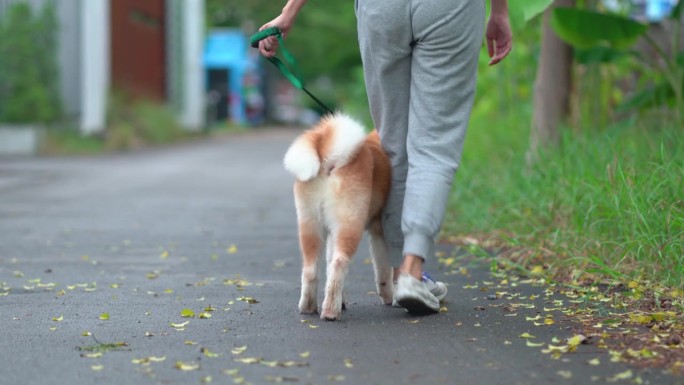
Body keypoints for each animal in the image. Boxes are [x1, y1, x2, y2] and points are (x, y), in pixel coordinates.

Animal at [282, 112, 390, 320]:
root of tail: (328, 160)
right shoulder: (380, 233)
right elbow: (385, 271)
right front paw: (390, 297)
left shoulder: (333, 232)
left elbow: (329, 263)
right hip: (350, 224)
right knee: (340, 263)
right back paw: (331, 311)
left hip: (311, 225)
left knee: (311, 269)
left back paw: (309, 307)